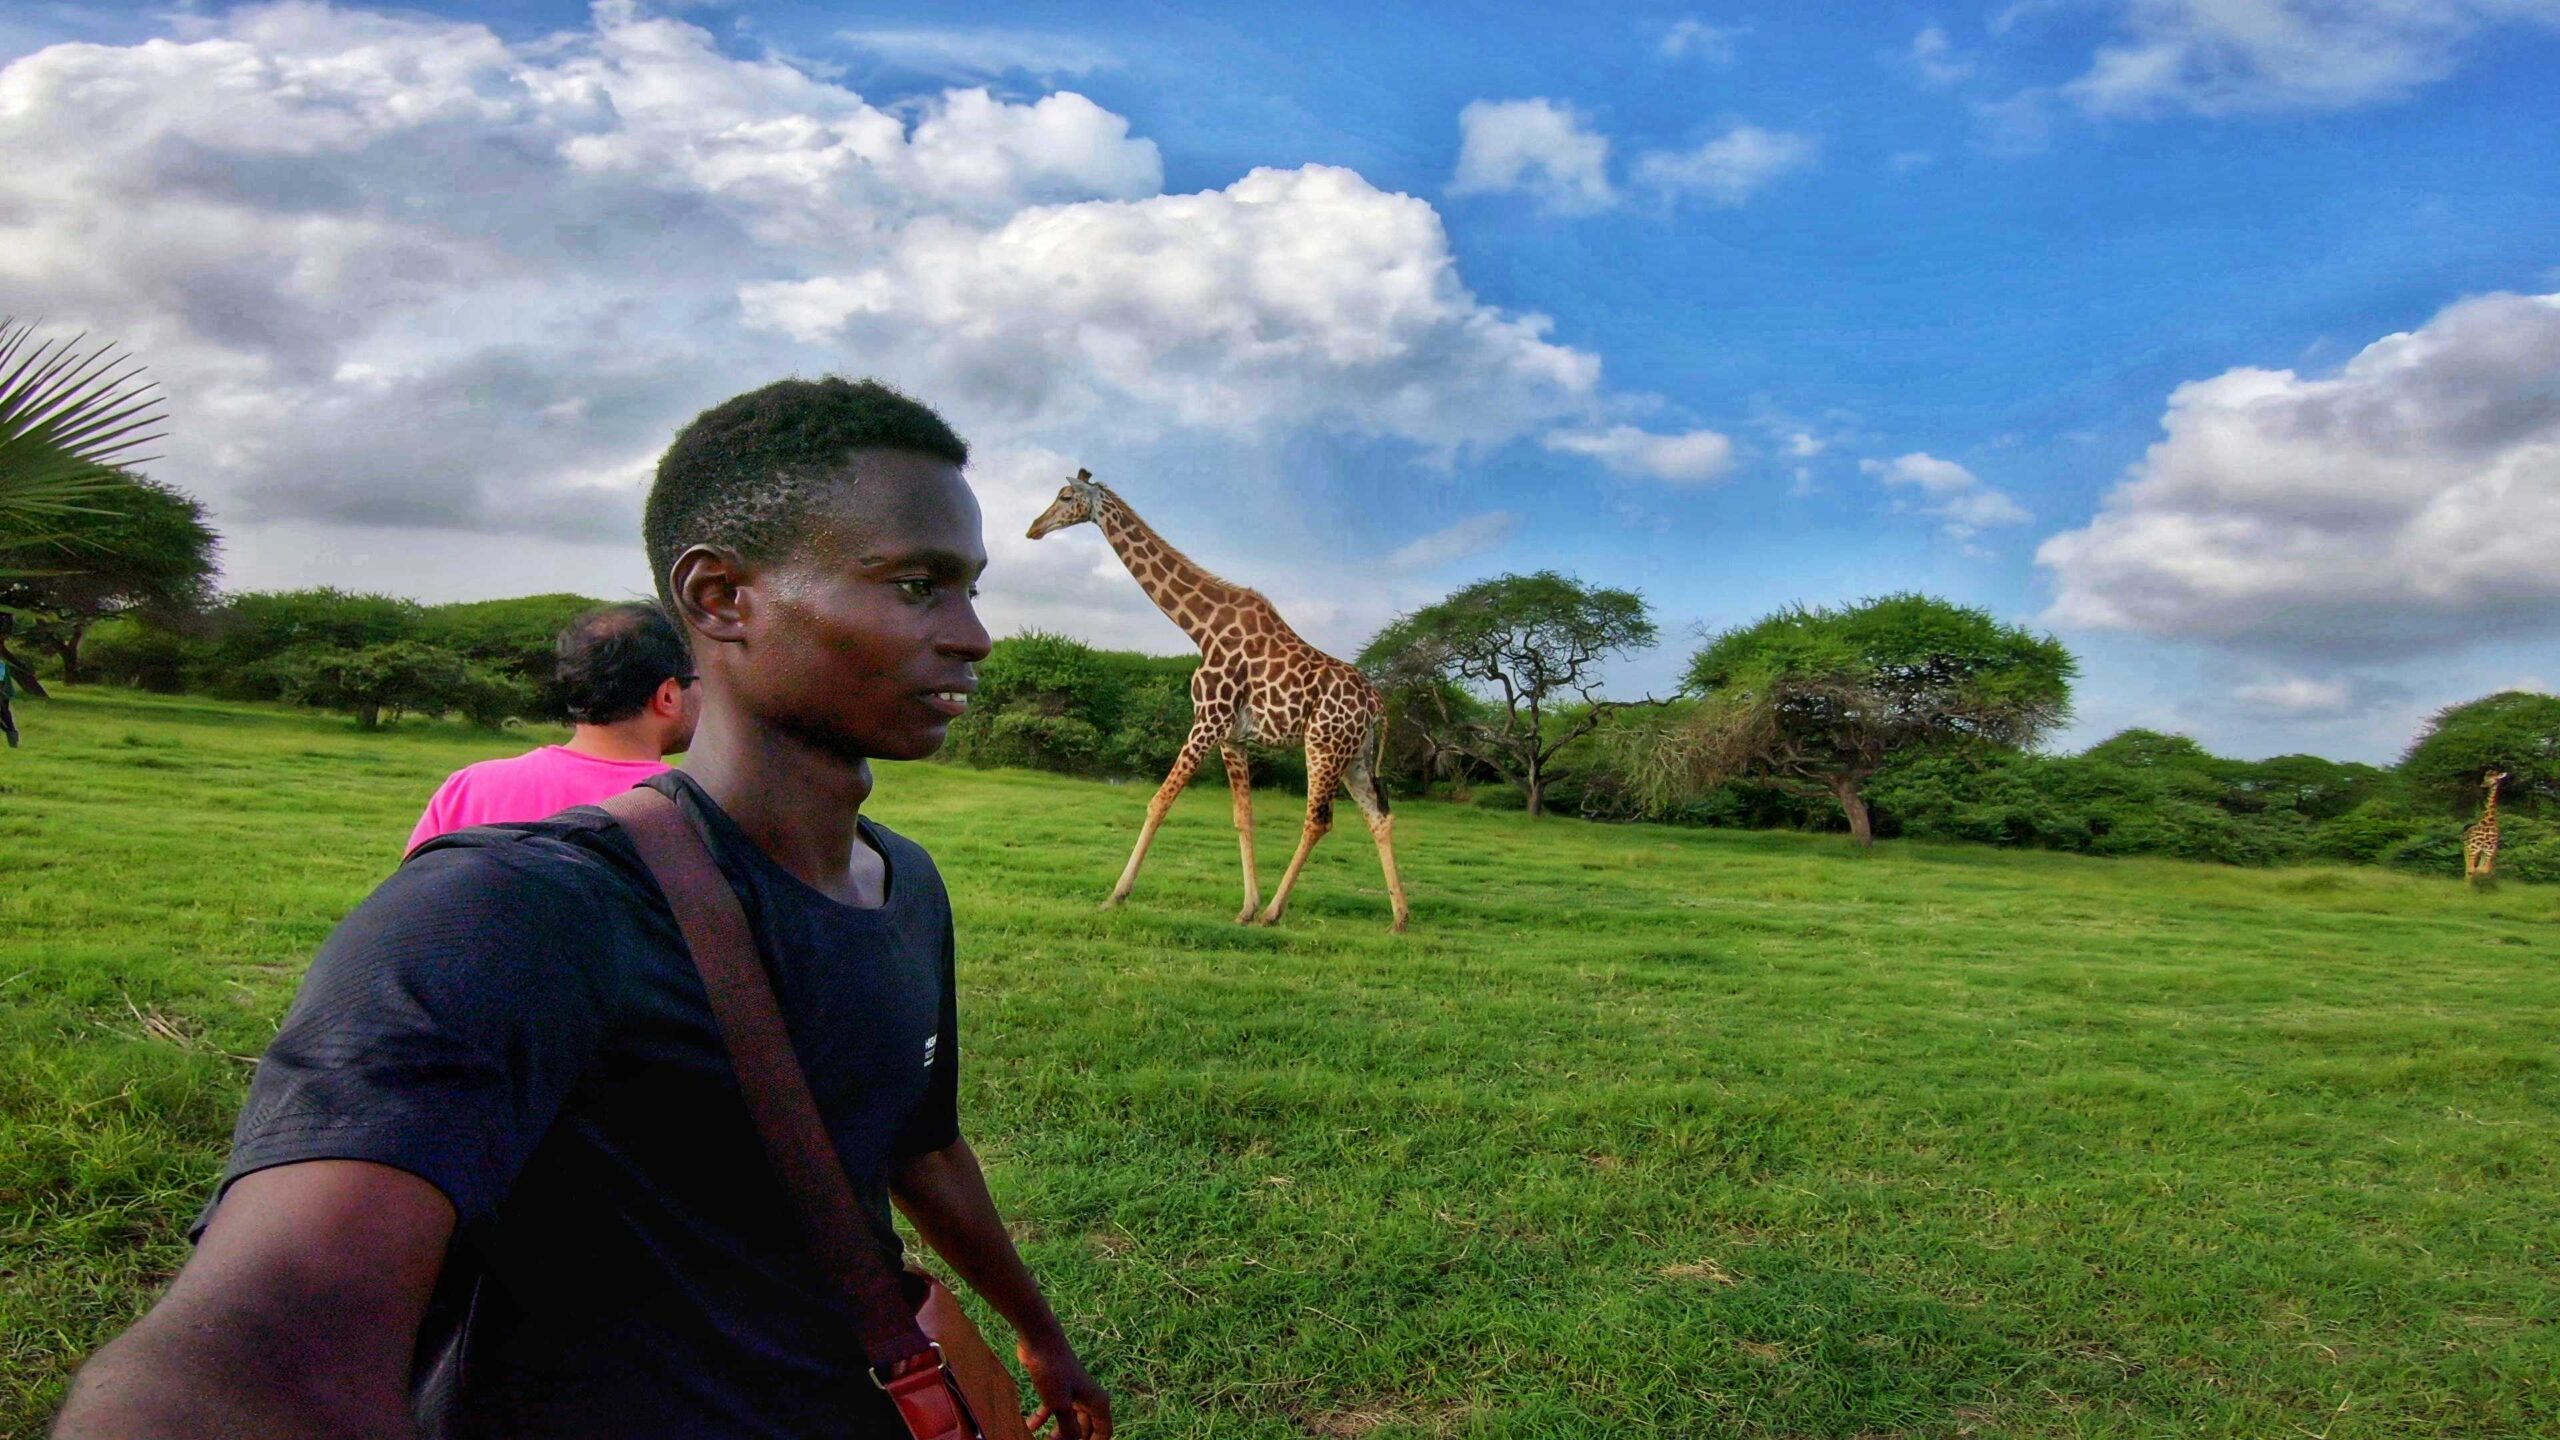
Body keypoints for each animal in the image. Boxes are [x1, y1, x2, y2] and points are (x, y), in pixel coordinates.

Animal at [1024, 466, 1423, 922]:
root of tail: (1377, 704)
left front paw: (1116, 895)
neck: (1201, 627)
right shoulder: (1232, 737)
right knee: (1379, 817)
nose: (1034, 528)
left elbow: (1159, 802)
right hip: (1354, 754)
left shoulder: (1207, 720)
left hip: (1323, 744)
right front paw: (1246, 908)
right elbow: (1243, 817)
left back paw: (1275, 913)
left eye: (1065, 495)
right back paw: (1399, 919)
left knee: (1319, 820)